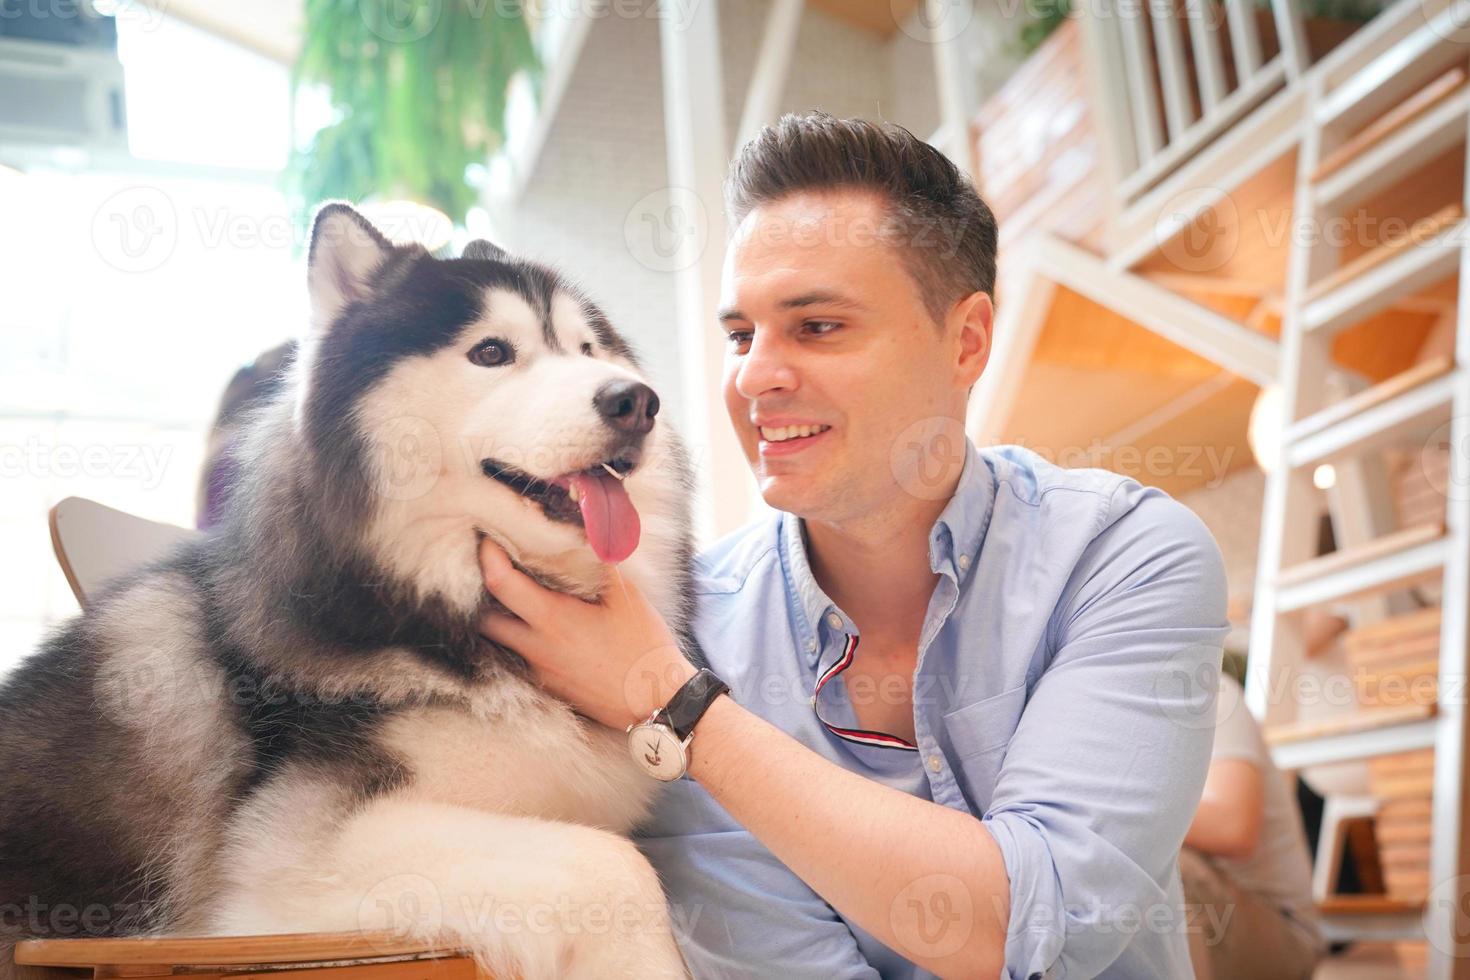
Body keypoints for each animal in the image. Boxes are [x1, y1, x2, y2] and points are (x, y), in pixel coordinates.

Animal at [0, 202, 699, 975]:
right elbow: (617, 867)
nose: (636, 401)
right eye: (492, 352)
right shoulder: (288, 863)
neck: (427, 607)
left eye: (587, 348)